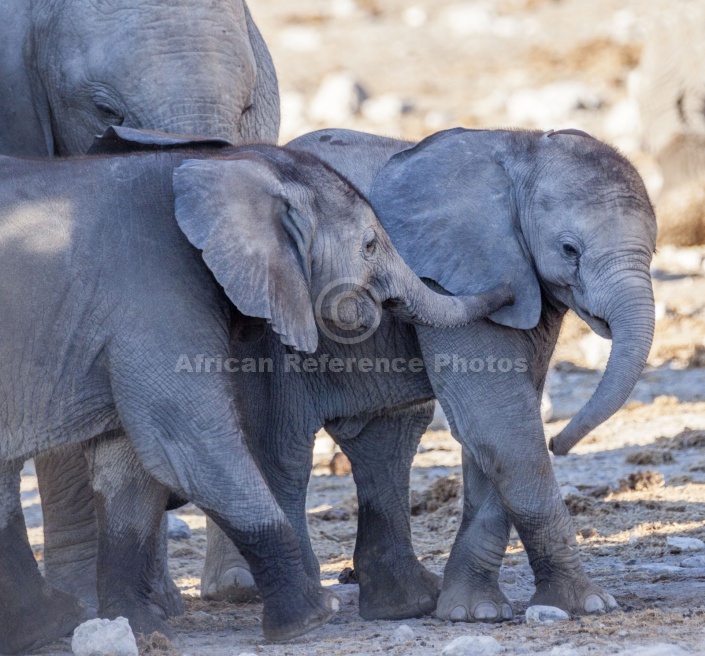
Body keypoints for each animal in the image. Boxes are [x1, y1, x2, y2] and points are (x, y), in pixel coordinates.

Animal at [0, 125, 508, 652]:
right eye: (370, 245)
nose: (510, 291)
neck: (223, 167)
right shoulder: (156, 297)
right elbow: (189, 445)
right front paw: (312, 618)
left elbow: (127, 466)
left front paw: (139, 630)